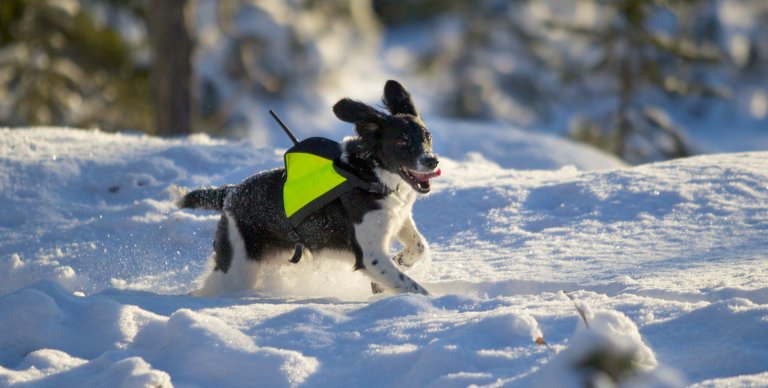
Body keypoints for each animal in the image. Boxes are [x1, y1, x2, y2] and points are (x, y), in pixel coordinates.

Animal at [175, 80, 438, 296]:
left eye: (428, 136)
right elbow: (413, 287)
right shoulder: (371, 256)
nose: (432, 161)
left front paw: (401, 260)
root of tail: (231, 192)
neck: (373, 176)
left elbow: (419, 246)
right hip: (238, 267)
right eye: (401, 140)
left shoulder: (400, 217)